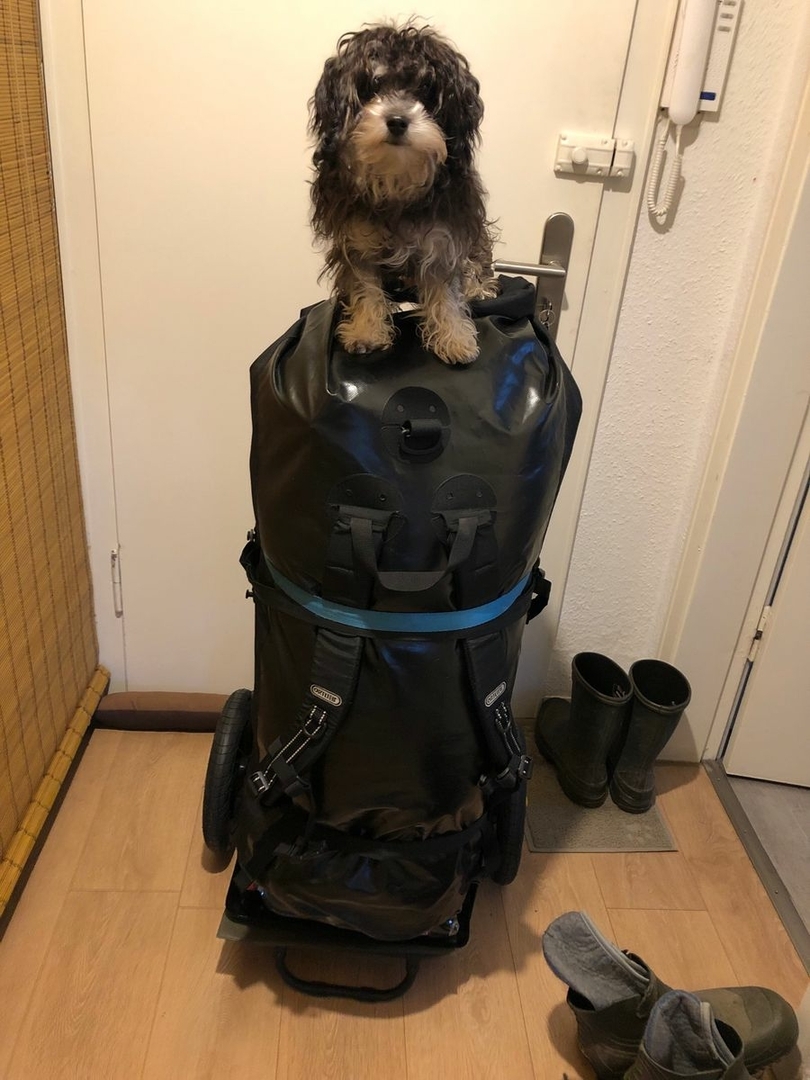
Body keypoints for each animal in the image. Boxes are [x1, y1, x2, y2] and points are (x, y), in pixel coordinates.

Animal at [309, 21, 498, 365]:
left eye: (425, 89)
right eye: (372, 86)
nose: (397, 120)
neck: (397, 179)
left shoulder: (445, 234)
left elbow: (445, 291)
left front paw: (453, 338)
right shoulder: (355, 239)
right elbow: (365, 287)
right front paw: (367, 332)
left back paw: (479, 285)